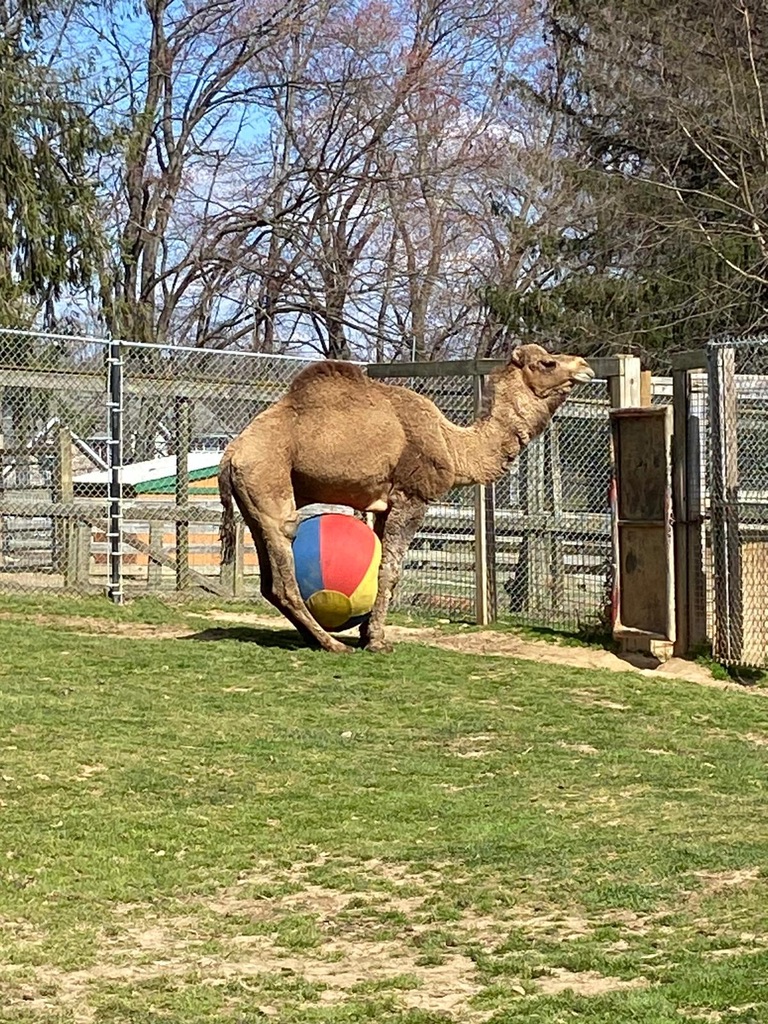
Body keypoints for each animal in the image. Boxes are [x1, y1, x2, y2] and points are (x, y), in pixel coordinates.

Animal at [219, 343, 594, 653]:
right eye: (548, 362)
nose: (585, 366)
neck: (453, 445)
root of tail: (230, 454)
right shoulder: (412, 496)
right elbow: (391, 569)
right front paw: (377, 642)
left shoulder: (384, 505)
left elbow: (382, 564)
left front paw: (367, 633)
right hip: (270, 485)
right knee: (284, 570)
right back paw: (331, 644)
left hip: (254, 504)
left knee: (269, 582)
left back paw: (316, 638)